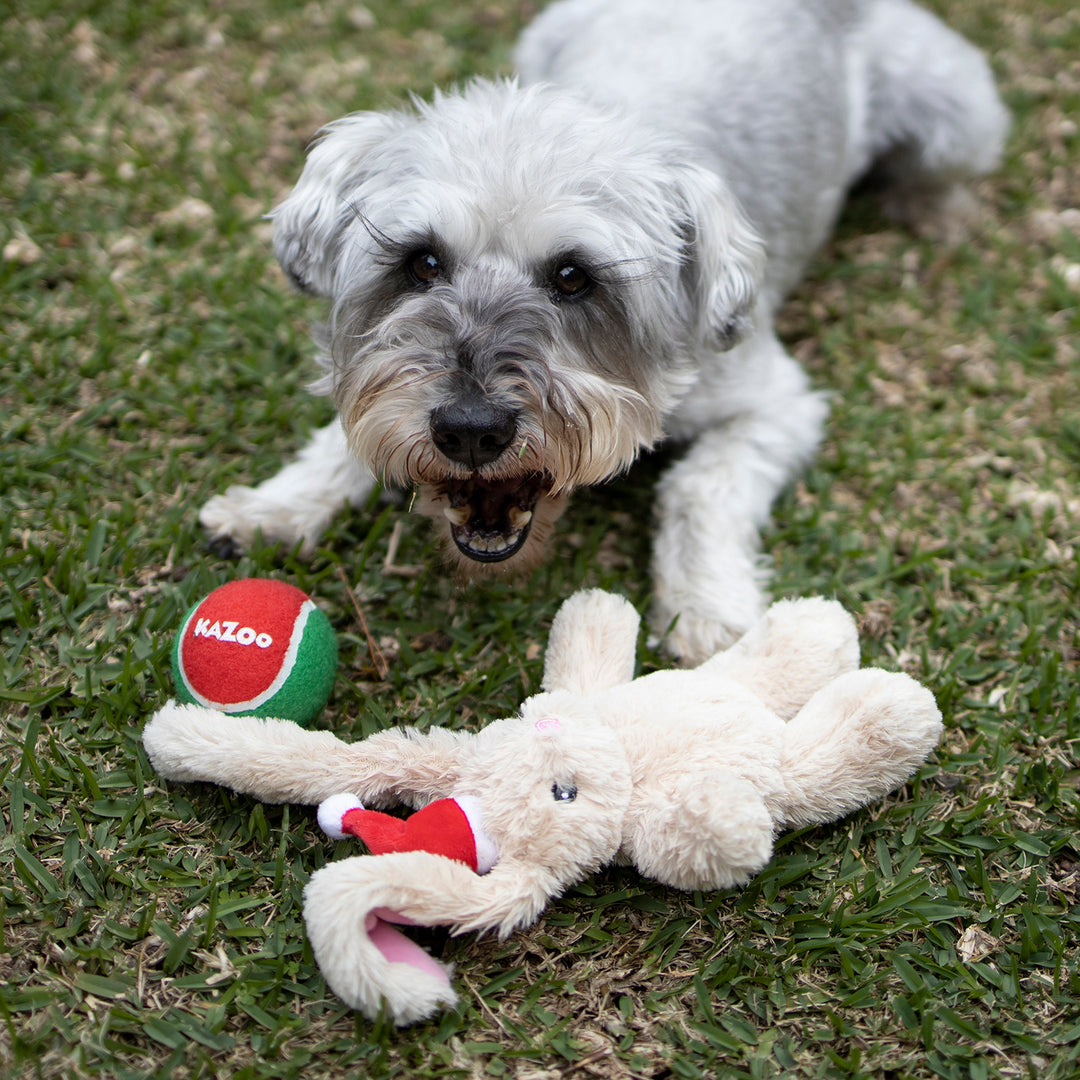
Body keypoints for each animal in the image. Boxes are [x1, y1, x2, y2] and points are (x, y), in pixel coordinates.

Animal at [198, 0, 1006, 656]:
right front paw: (275, 505)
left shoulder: (775, 404)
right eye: (421, 261)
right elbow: (348, 428)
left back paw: (935, 212)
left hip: (958, 115)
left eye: (573, 276)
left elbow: (699, 490)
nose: (470, 430)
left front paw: (708, 609)